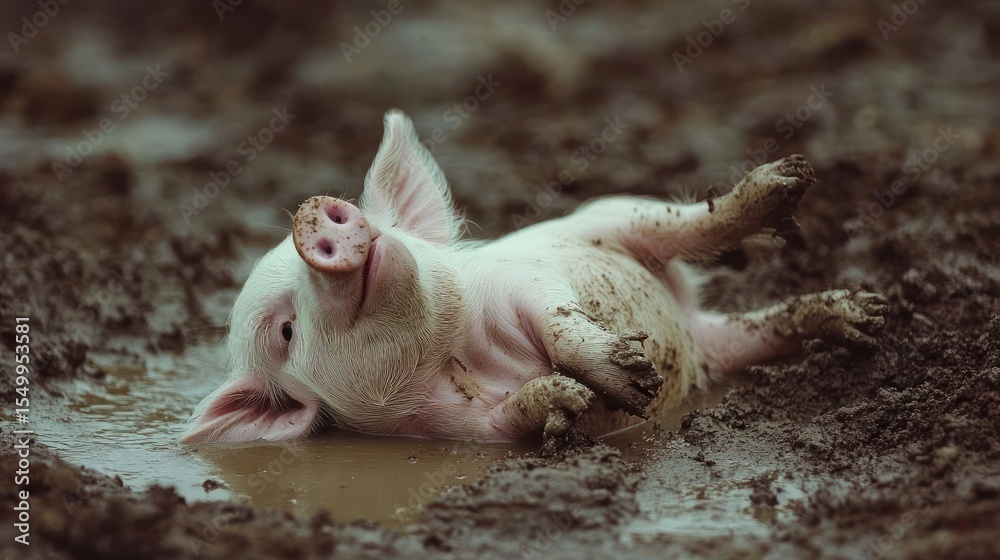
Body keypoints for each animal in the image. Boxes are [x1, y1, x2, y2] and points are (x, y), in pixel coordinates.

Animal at [181, 110, 887, 444]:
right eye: (286, 332)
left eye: (379, 222)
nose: (315, 214)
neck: (456, 348)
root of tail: (687, 324)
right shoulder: (444, 430)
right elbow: (514, 418)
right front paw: (570, 402)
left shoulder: (522, 281)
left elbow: (561, 321)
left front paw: (634, 382)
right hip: (716, 346)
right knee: (756, 329)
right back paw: (859, 318)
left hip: (607, 215)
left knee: (683, 223)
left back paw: (787, 188)